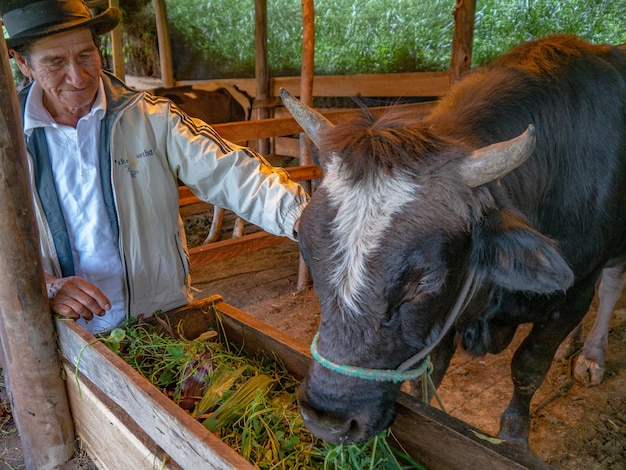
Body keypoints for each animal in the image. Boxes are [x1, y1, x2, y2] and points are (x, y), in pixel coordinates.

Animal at [280, 35, 624, 450]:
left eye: (425, 280)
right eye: (307, 250)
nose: (326, 418)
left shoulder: (573, 294)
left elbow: (528, 368)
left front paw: (514, 436)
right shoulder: (444, 317)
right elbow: (428, 375)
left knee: (610, 287)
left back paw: (591, 356)